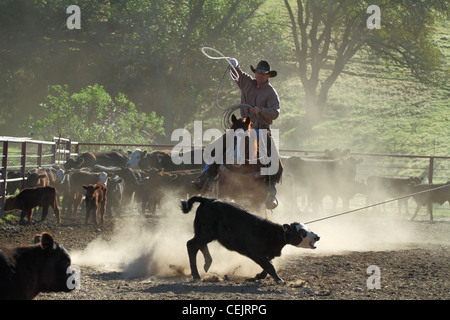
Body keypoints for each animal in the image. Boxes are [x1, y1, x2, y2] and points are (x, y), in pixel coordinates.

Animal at [180, 195, 320, 282]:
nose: (317, 236)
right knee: (191, 245)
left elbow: (267, 266)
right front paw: (279, 280)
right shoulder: (255, 253)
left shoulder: (266, 254)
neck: (270, 233)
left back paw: (207, 263)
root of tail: (206, 200)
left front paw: (258, 276)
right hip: (206, 232)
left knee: (199, 245)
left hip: (204, 233)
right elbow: (269, 266)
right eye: (302, 232)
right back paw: (196, 275)